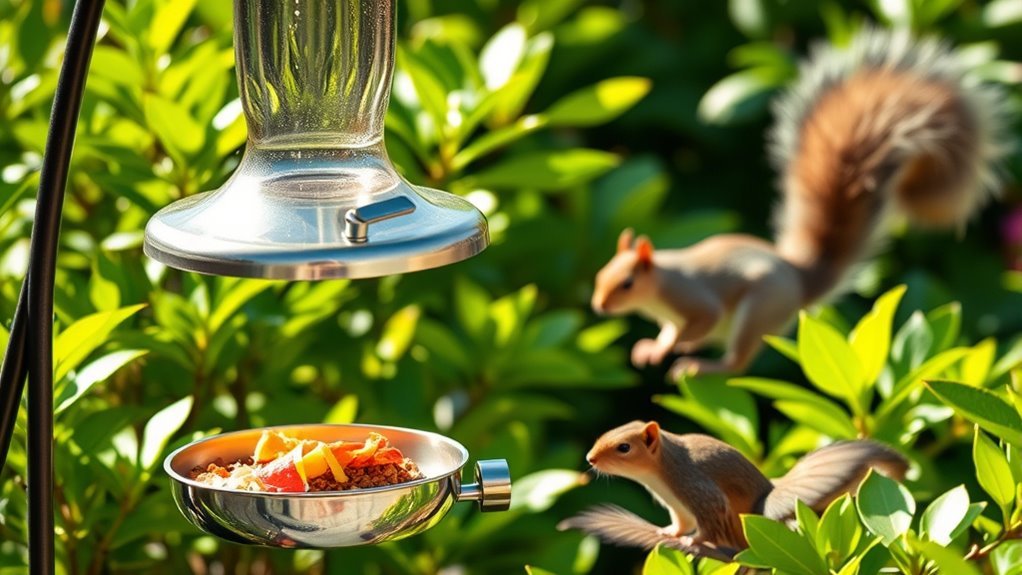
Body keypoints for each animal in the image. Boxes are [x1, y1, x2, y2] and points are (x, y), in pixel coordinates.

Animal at [558, 420, 908, 555]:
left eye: (624, 448)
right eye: (606, 433)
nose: (590, 458)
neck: (662, 472)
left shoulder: (698, 491)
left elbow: (705, 527)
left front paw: (692, 541)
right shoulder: (677, 506)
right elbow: (679, 524)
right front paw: (668, 533)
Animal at [591, 28, 1014, 376]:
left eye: (627, 283)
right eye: (600, 275)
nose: (599, 307)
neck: (661, 283)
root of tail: (799, 278)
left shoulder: (694, 299)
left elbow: (701, 321)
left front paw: (677, 345)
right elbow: (667, 332)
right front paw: (652, 348)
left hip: (759, 310)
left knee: (738, 361)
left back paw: (702, 366)